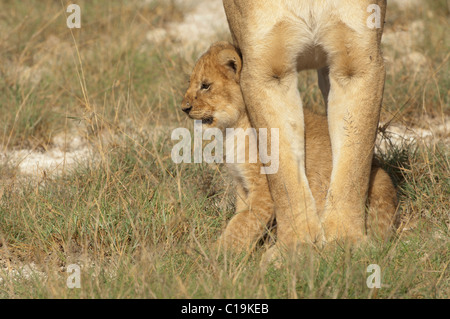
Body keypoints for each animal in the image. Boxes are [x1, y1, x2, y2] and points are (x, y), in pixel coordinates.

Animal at [223, 0, 388, 251]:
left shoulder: (358, 63)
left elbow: (353, 166)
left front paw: (345, 241)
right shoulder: (267, 73)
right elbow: (283, 174)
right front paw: (296, 246)